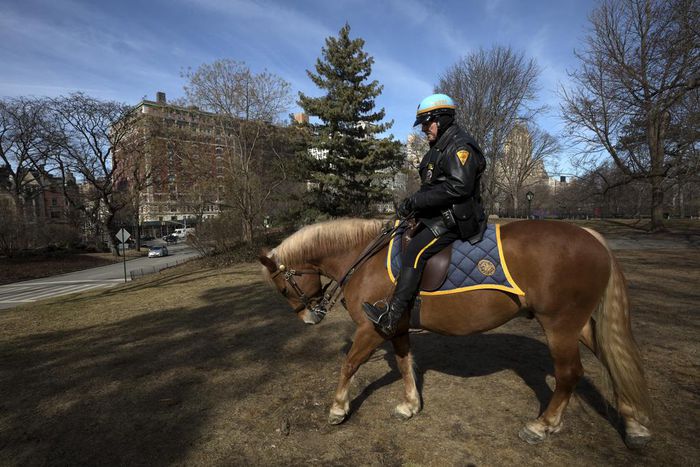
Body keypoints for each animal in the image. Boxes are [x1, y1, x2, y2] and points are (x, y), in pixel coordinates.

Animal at [258, 218, 652, 449]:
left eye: (282, 287)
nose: (309, 318)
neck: (363, 257)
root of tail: (591, 236)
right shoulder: (396, 326)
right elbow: (405, 363)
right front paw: (410, 405)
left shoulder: (371, 329)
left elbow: (349, 364)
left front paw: (338, 409)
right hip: (579, 325)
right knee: (612, 360)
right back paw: (633, 423)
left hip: (559, 325)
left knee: (570, 374)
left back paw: (543, 425)